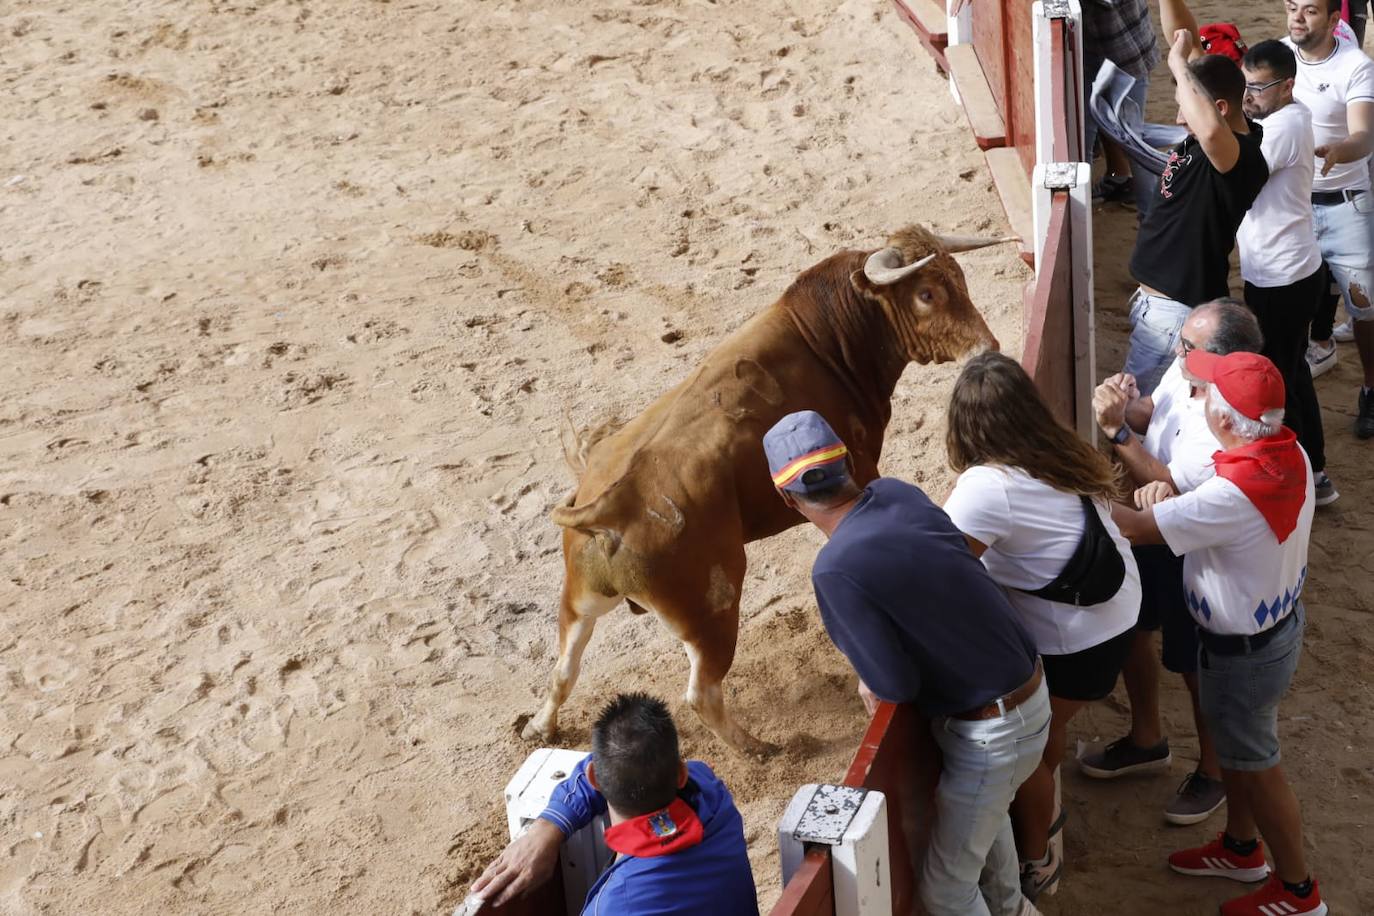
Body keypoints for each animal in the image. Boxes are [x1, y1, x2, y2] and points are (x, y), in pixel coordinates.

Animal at [524, 225, 1011, 758]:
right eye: (926, 294)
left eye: (959, 277)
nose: (988, 348)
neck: (825, 338)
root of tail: (612, 503)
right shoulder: (862, 468)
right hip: (713, 613)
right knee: (702, 692)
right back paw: (762, 748)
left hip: (580, 598)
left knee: (564, 667)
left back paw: (541, 727)